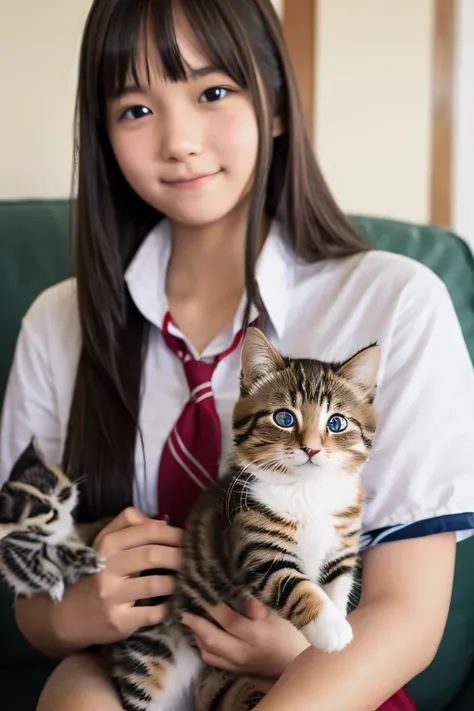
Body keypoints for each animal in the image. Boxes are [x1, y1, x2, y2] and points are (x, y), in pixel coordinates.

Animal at [0, 328, 380, 711]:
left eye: (336, 423)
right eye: (285, 418)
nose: (312, 449)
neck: (307, 491)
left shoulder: (343, 544)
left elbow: (338, 582)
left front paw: (335, 614)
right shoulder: (252, 543)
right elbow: (292, 584)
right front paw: (332, 628)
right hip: (150, 657)